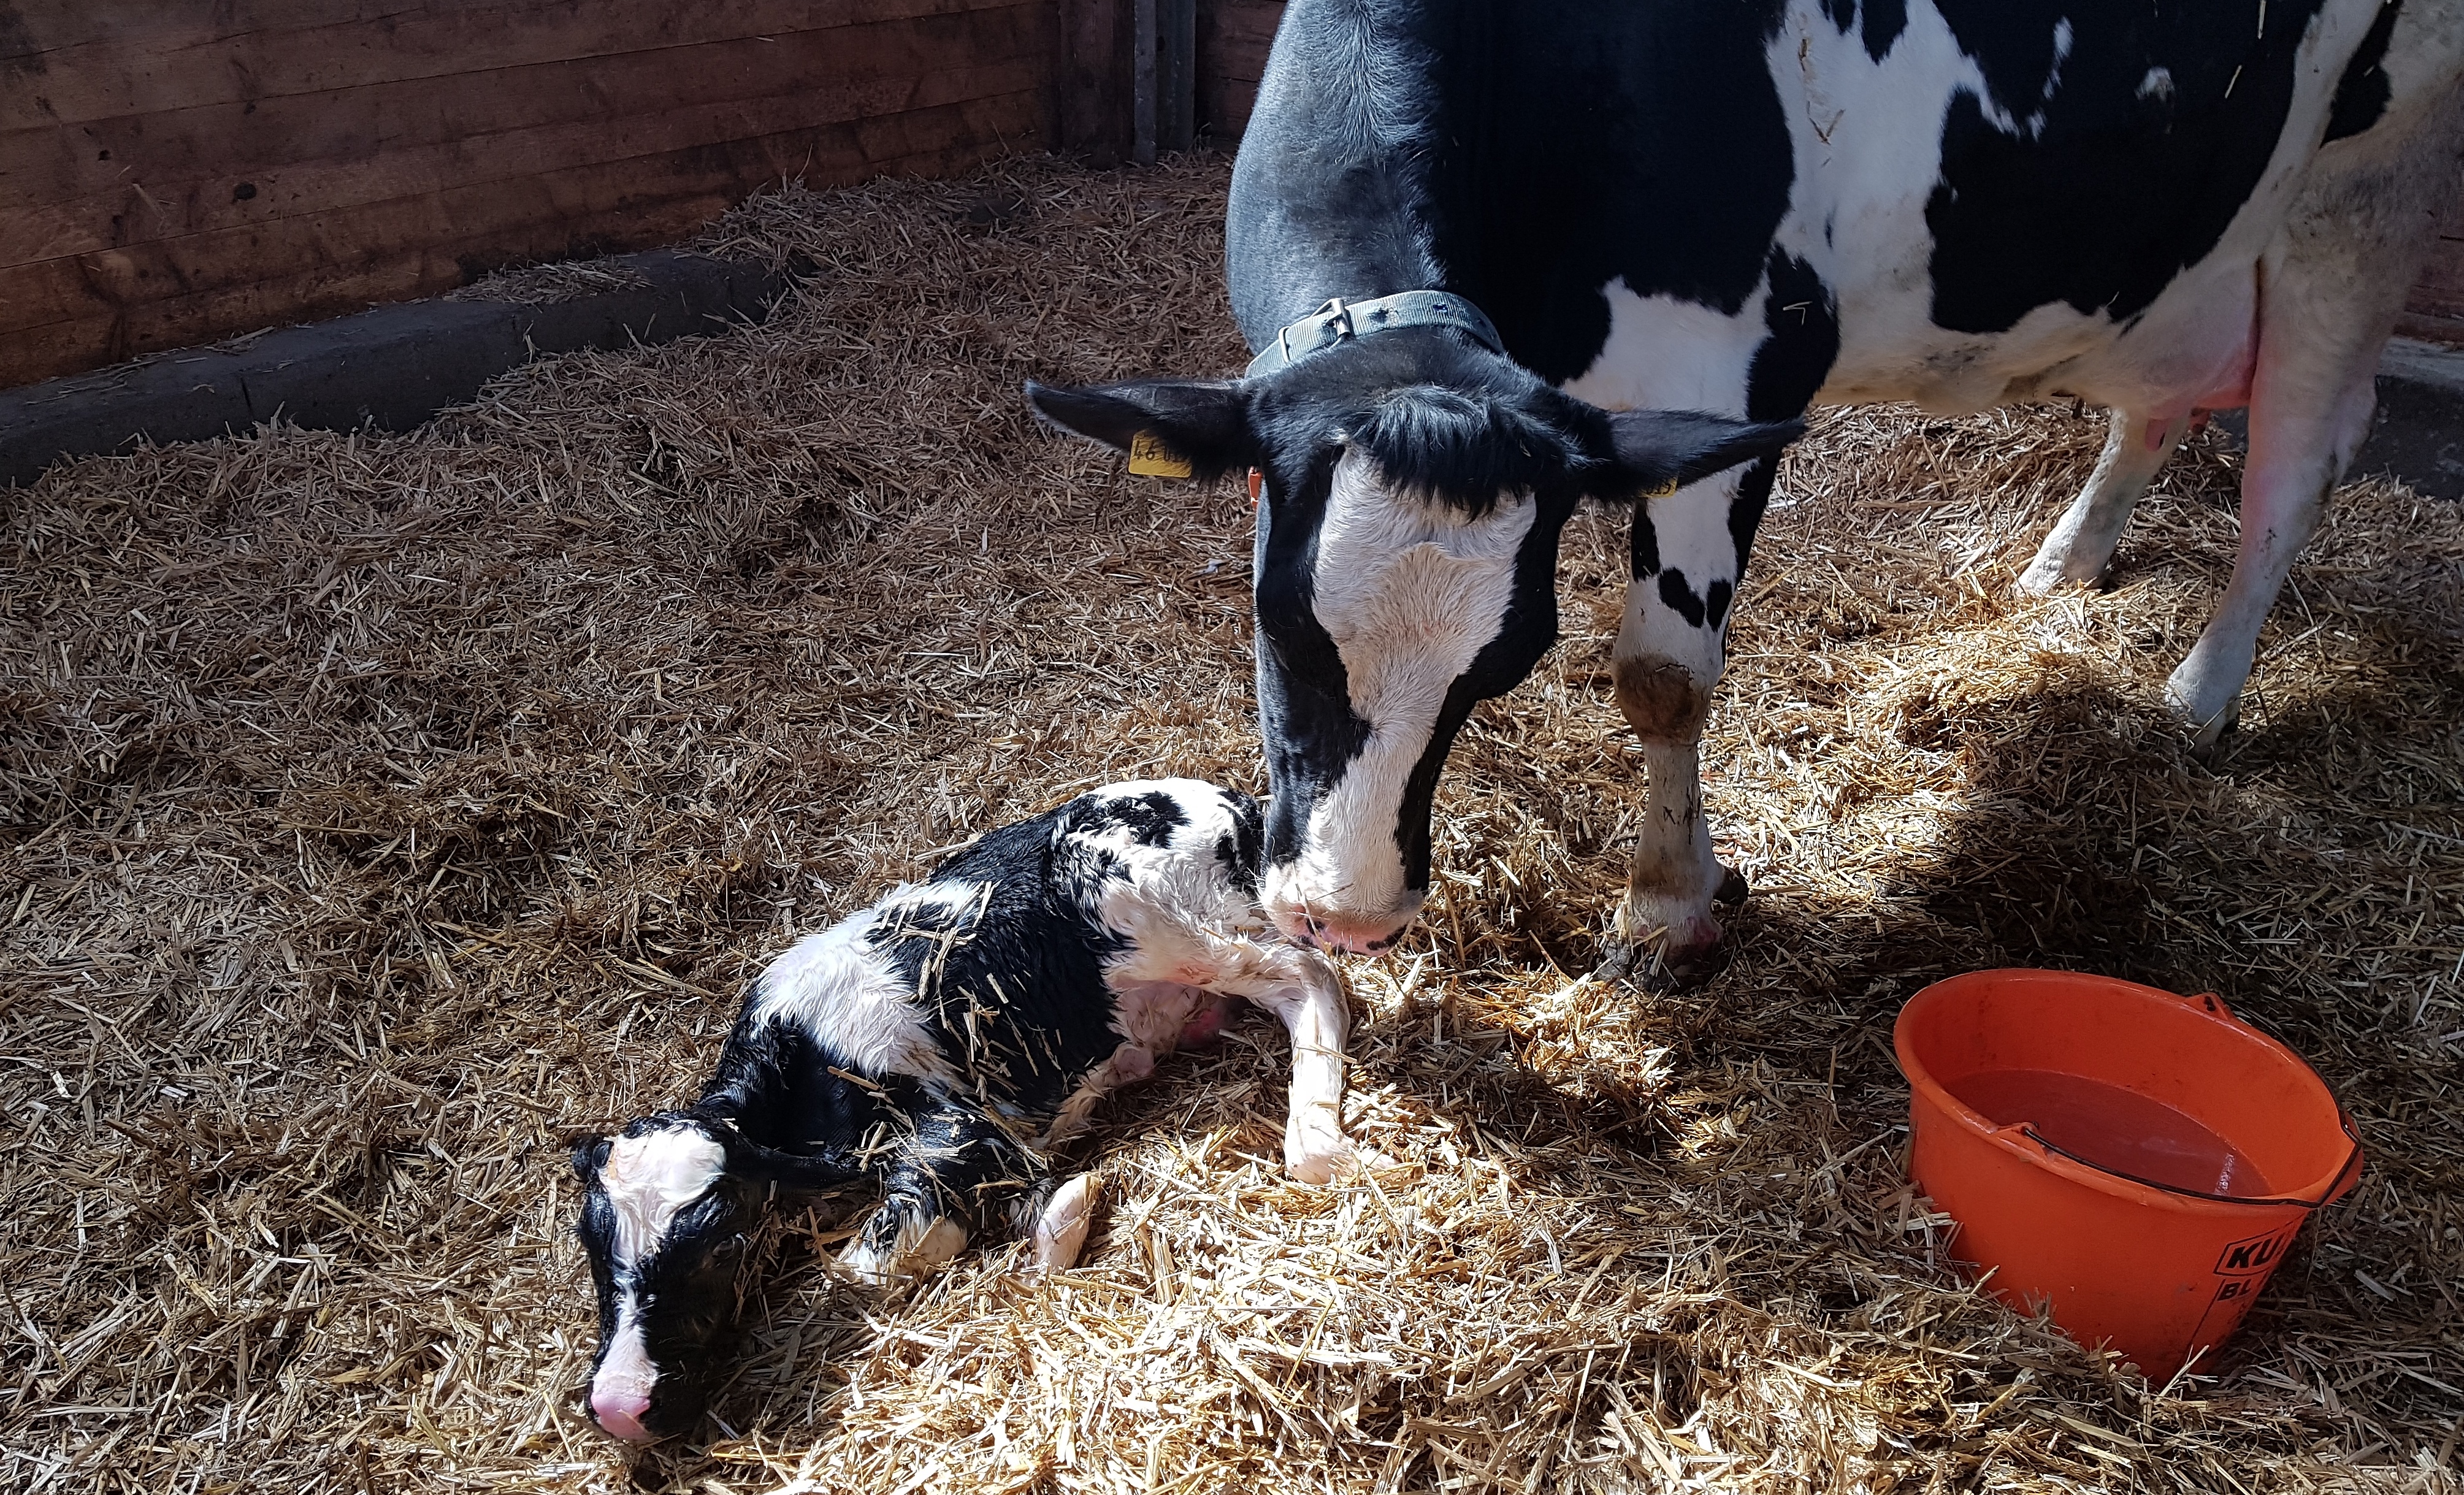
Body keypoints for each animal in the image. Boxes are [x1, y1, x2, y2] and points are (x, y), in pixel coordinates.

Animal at [569, 778, 1360, 1448]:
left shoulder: (963, 1124)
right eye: (591, 1242)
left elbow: (864, 1265)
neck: (797, 1058)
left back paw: (1315, 1142)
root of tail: (1228, 800)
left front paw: (1061, 1221)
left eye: (723, 1241)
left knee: (1307, 975)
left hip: (1155, 911)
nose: (620, 1405)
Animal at [1030, 0, 2464, 990]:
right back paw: (2062, 567)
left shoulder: (1729, 368)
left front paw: (1668, 909)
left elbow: (1662, 678)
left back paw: (2199, 695)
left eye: (1511, 655)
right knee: (2158, 400)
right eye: (1274, 619)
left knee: (2299, 457)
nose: (1348, 913)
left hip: (2365, 188)